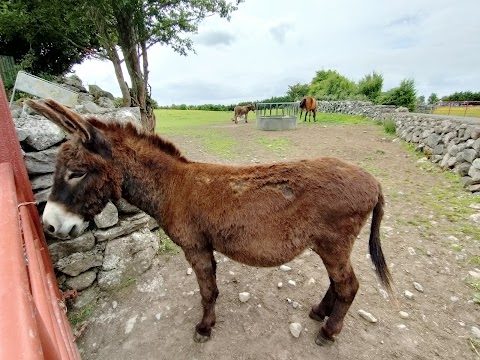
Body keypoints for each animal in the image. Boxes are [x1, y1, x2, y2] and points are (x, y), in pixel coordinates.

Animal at [27, 99, 394, 348]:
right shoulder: (204, 245)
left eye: (75, 173)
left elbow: (207, 291)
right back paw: (319, 312)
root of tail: (374, 181)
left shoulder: (195, 246)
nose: (49, 227)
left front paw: (204, 327)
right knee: (338, 283)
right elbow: (211, 289)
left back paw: (328, 332)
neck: (172, 187)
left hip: (334, 241)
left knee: (349, 286)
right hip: (329, 244)